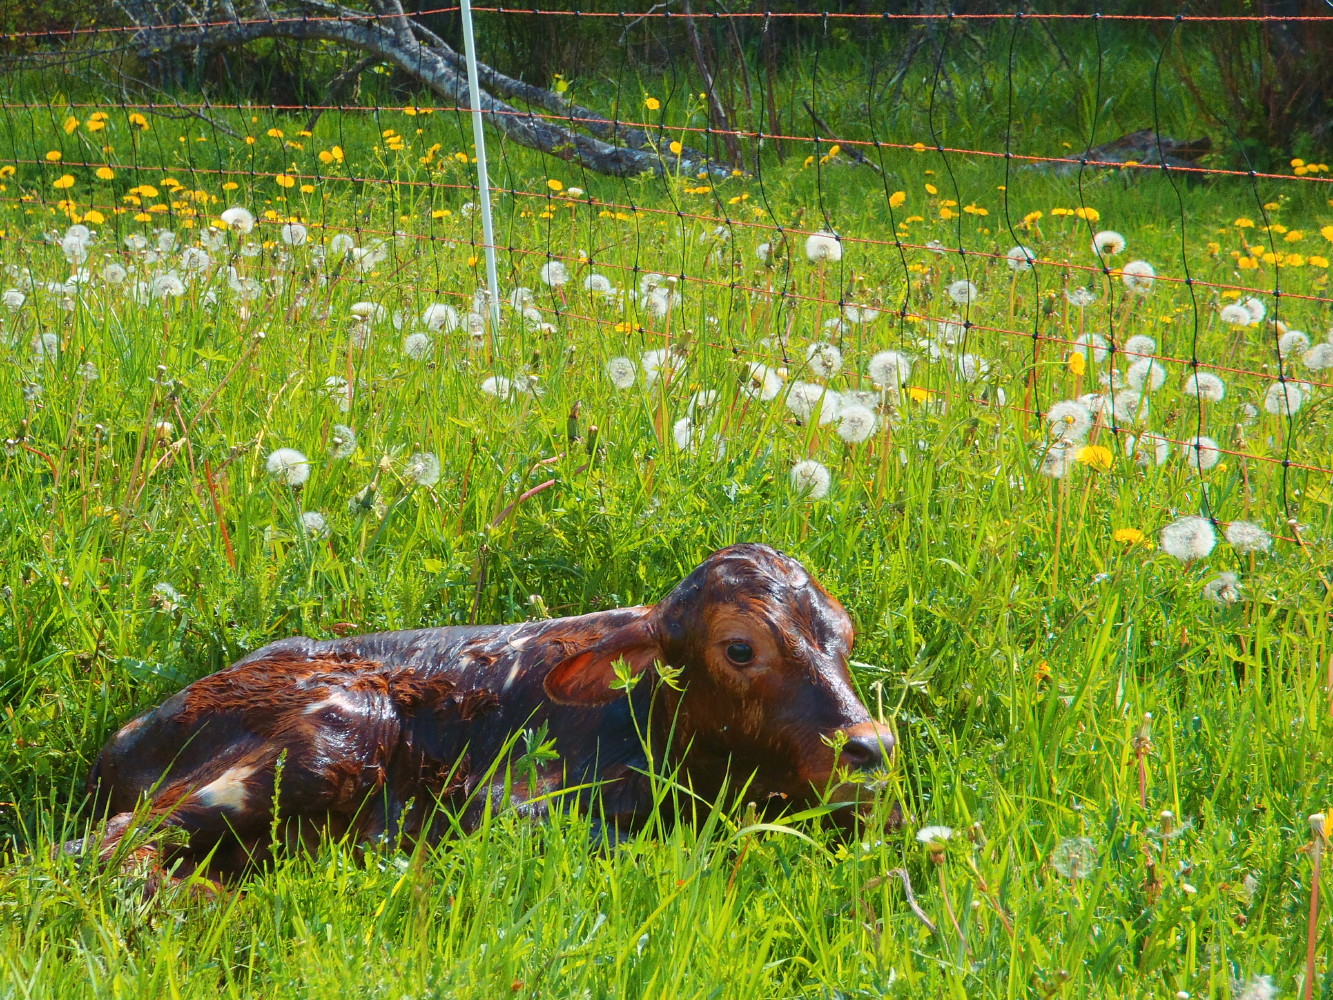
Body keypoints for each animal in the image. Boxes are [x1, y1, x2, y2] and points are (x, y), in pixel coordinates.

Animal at [80, 543, 895, 881]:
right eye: (739, 648)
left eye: (844, 635)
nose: (869, 746)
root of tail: (125, 734)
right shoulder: (505, 809)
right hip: (342, 726)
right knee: (108, 849)